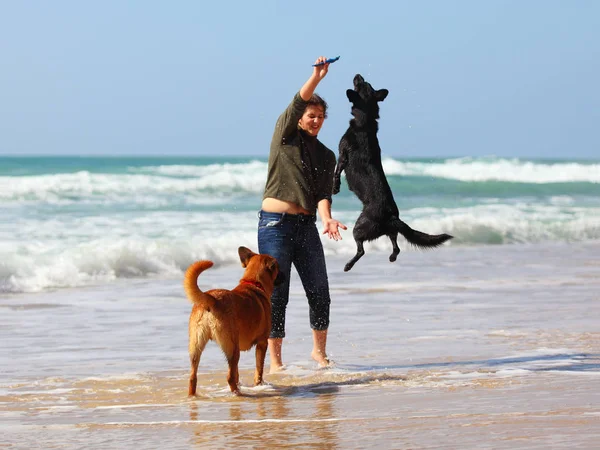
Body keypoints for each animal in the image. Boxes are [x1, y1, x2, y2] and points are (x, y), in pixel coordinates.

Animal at [183, 246, 284, 398]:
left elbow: (237, 372)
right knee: (230, 377)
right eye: (277, 267)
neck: (253, 282)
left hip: (196, 346)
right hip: (232, 348)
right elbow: (258, 370)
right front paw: (259, 385)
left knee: (192, 377)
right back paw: (238, 393)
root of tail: (211, 299)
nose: (285, 275)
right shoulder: (262, 343)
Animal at [330, 74, 452, 272]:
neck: (365, 121)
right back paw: (392, 257)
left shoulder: (342, 155)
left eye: (360, 84)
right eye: (366, 83)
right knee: (396, 246)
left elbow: (336, 172)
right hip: (390, 231)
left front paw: (335, 188)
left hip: (359, 227)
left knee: (362, 249)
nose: (358, 74)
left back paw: (348, 265)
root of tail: (392, 216)